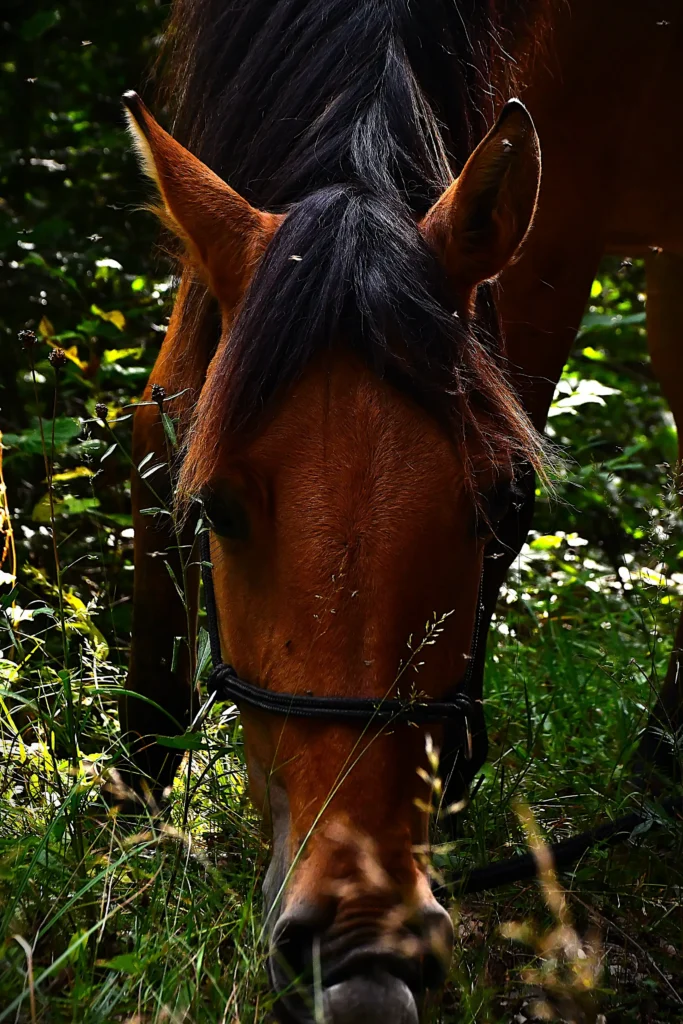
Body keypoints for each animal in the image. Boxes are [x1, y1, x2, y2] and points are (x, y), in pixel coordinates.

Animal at [120, 0, 682, 1020]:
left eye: (498, 503)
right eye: (216, 510)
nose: (362, 949)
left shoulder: (558, 223)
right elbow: (159, 422)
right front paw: (127, 810)